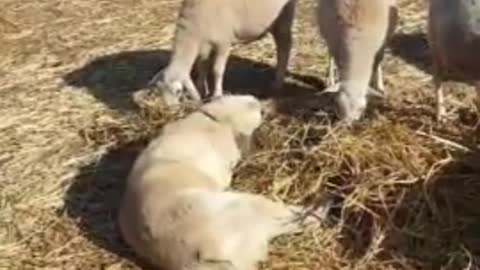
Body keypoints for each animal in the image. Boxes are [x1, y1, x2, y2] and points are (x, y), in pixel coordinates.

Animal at [118, 94, 328, 270]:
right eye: (259, 109)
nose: (272, 102)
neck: (217, 119)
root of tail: (205, 255)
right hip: (237, 209)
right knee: (289, 216)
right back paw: (322, 204)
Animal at [148, 0, 296, 106]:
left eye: (178, 91)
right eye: (159, 91)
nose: (170, 109)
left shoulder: (223, 42)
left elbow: (217, 70)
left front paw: (217, 95)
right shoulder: (204, 45)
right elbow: (202, 67)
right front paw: (201, 89)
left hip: (283, 18)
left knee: (284, 47)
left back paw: (277, 83)